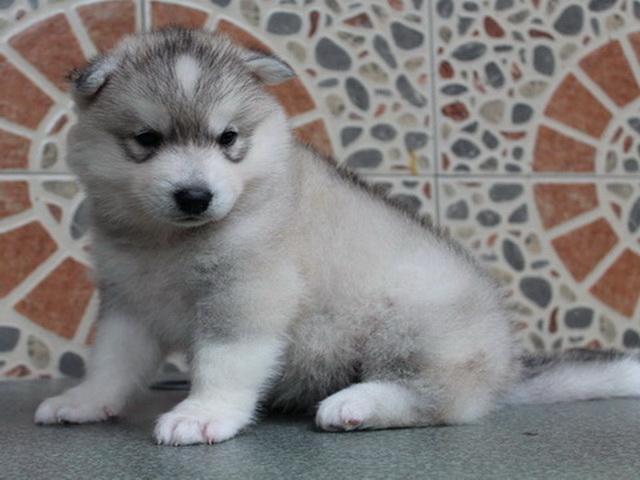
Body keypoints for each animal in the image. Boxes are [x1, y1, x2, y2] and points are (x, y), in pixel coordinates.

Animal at [34, 28, 640, 445]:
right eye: (147, 139)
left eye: (228, 138)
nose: (195, 196)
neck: (166, 243)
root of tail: (507, 363)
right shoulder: (128, 301)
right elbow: (111, 362)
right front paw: (84, 401)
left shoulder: (248, 293)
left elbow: (223, 361)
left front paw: (203, 414)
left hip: (409, 320)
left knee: (439, 399)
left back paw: (355, 404)